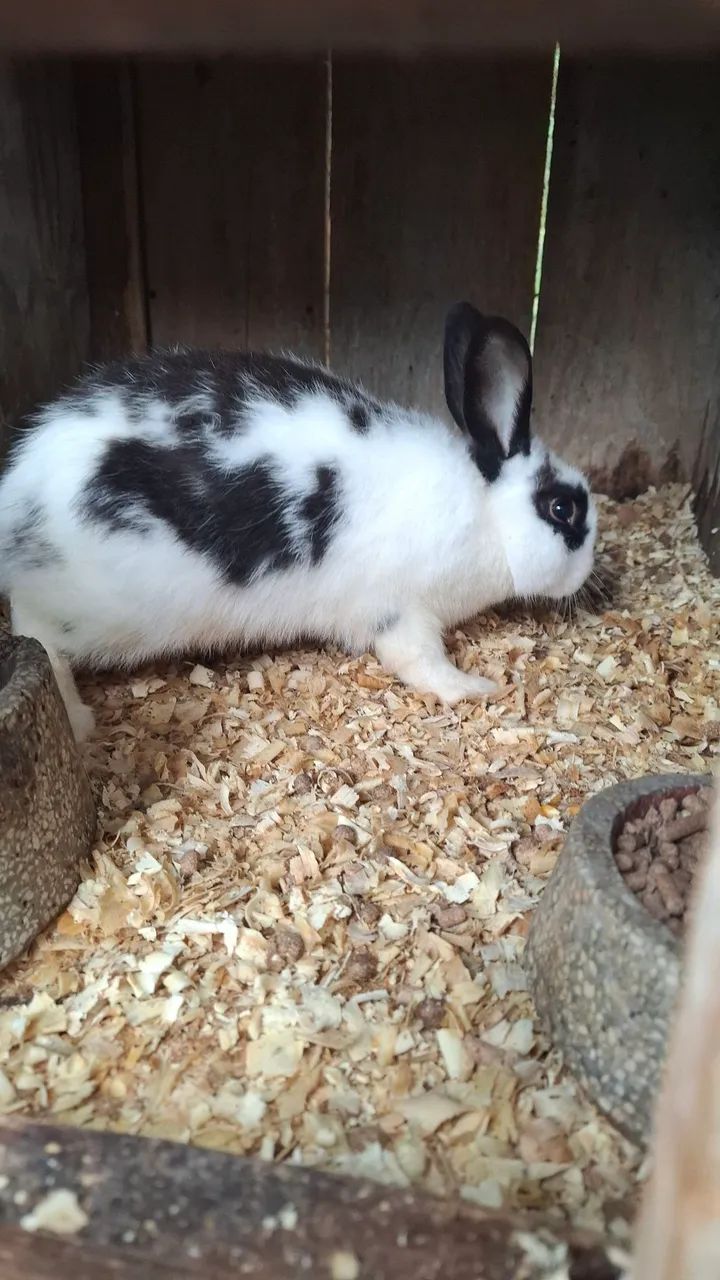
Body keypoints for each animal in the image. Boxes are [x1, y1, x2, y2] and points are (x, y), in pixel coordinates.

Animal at [0, 302, 596, 742]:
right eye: (562, 509)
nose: (590, 571)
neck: (484, 510)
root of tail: (17, 496)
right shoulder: (401, 613)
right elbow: (420, 663)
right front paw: (475, 688)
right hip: (77, 609)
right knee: (38, 636)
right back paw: (78, 721)